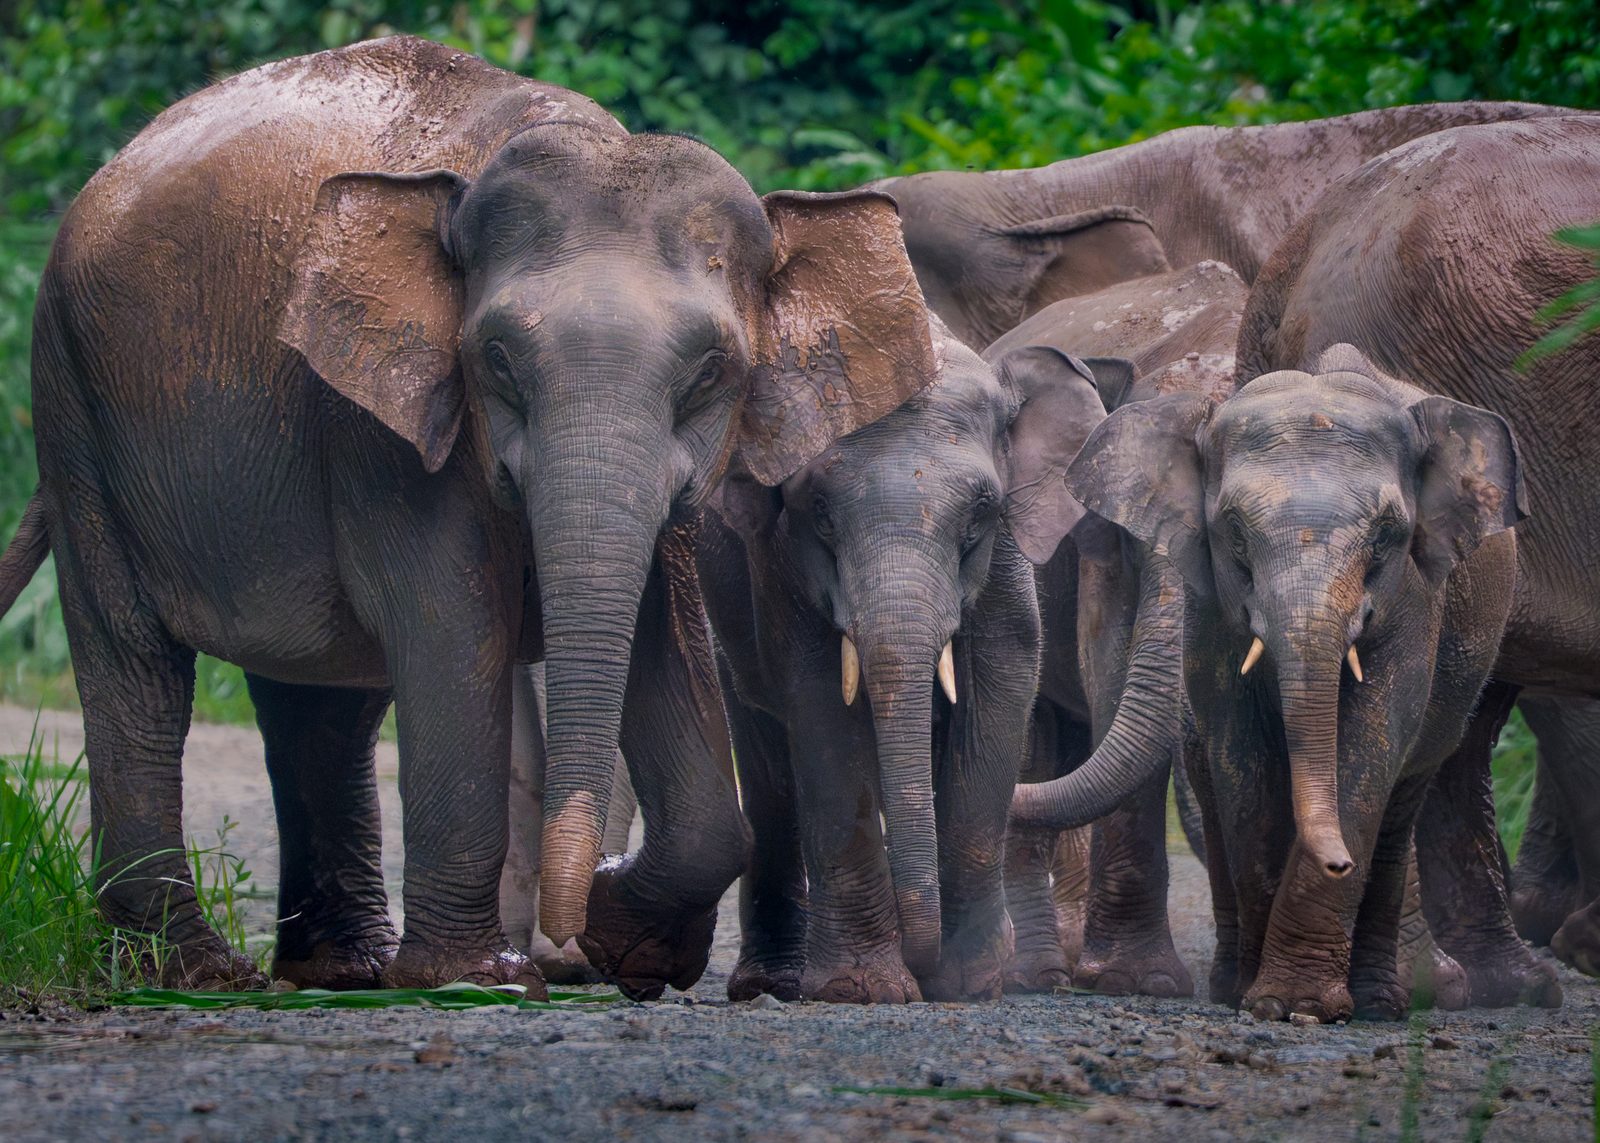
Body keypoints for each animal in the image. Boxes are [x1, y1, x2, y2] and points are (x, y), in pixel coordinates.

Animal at [6, 36, 939, 996]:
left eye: (712, 370)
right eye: (496, 357)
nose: (569, 931)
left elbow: (658, 635)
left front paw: (633, 948)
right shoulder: (376, 428)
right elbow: (453, 627)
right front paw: (479, 978)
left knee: (321, 697)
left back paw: (339, 968)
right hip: (73, 408)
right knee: (138, 663)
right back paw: (196, 971)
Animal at [696, 318, 1108, 1001]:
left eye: (980, 513)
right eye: (819, 514)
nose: (925, 961)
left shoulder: (1006, 566)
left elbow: (1001, 693)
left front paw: (967, 984)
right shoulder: (781, 565)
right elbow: (820, 706)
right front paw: (860, 990)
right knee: (766, 764)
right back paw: (769, 983)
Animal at [1065, 344, 1533, 1022]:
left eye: (1386, 535)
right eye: (1234, 532)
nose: (1337, 860)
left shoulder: (1417, 594)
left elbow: (1368, 746)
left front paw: (1299, 1004)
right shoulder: (1210, 602)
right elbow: (1244, 756)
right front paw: (1267, 1002)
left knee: (1401, 806)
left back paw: (1378, 1003)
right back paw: (1236, 986)